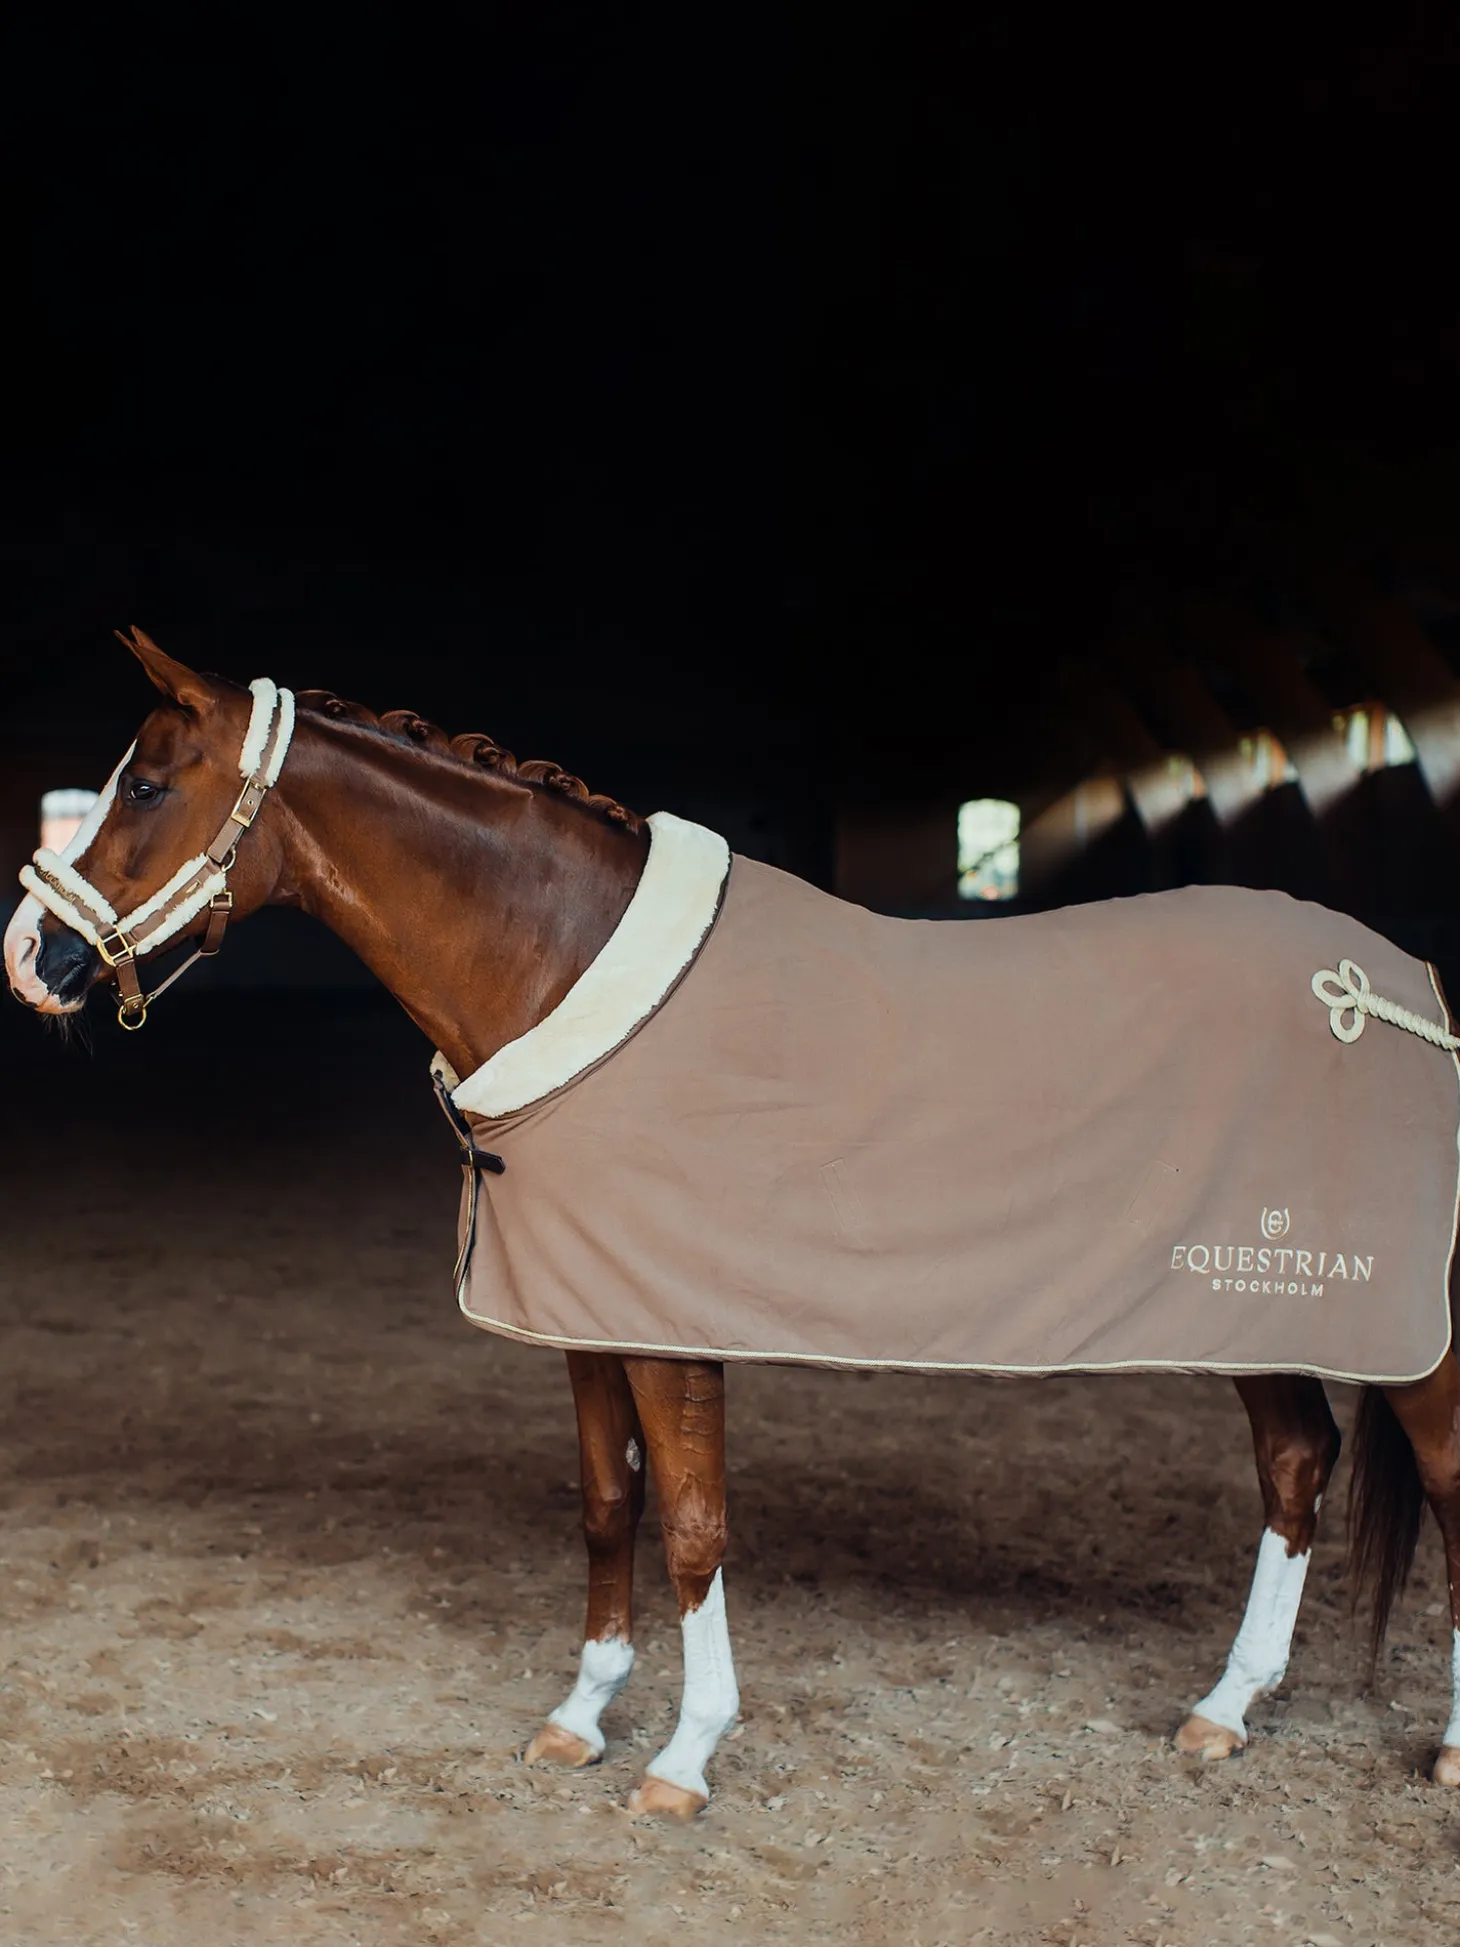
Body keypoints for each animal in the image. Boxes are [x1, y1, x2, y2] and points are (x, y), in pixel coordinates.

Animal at [7, 627, 1460, 1822]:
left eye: (143, 786)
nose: (32, 957)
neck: (569, 964)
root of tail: (1402, 991)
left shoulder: (668, 1324)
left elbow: (694, 1524)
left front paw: (685, 1755)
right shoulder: (587, 1313)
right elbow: (609, 1504)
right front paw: (581, 1714)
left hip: (1394, 1329)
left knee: (1435, 1478)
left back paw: (1440, 1746)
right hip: (1252, 1298)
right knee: (1295, 1458)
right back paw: (1226, 1707)